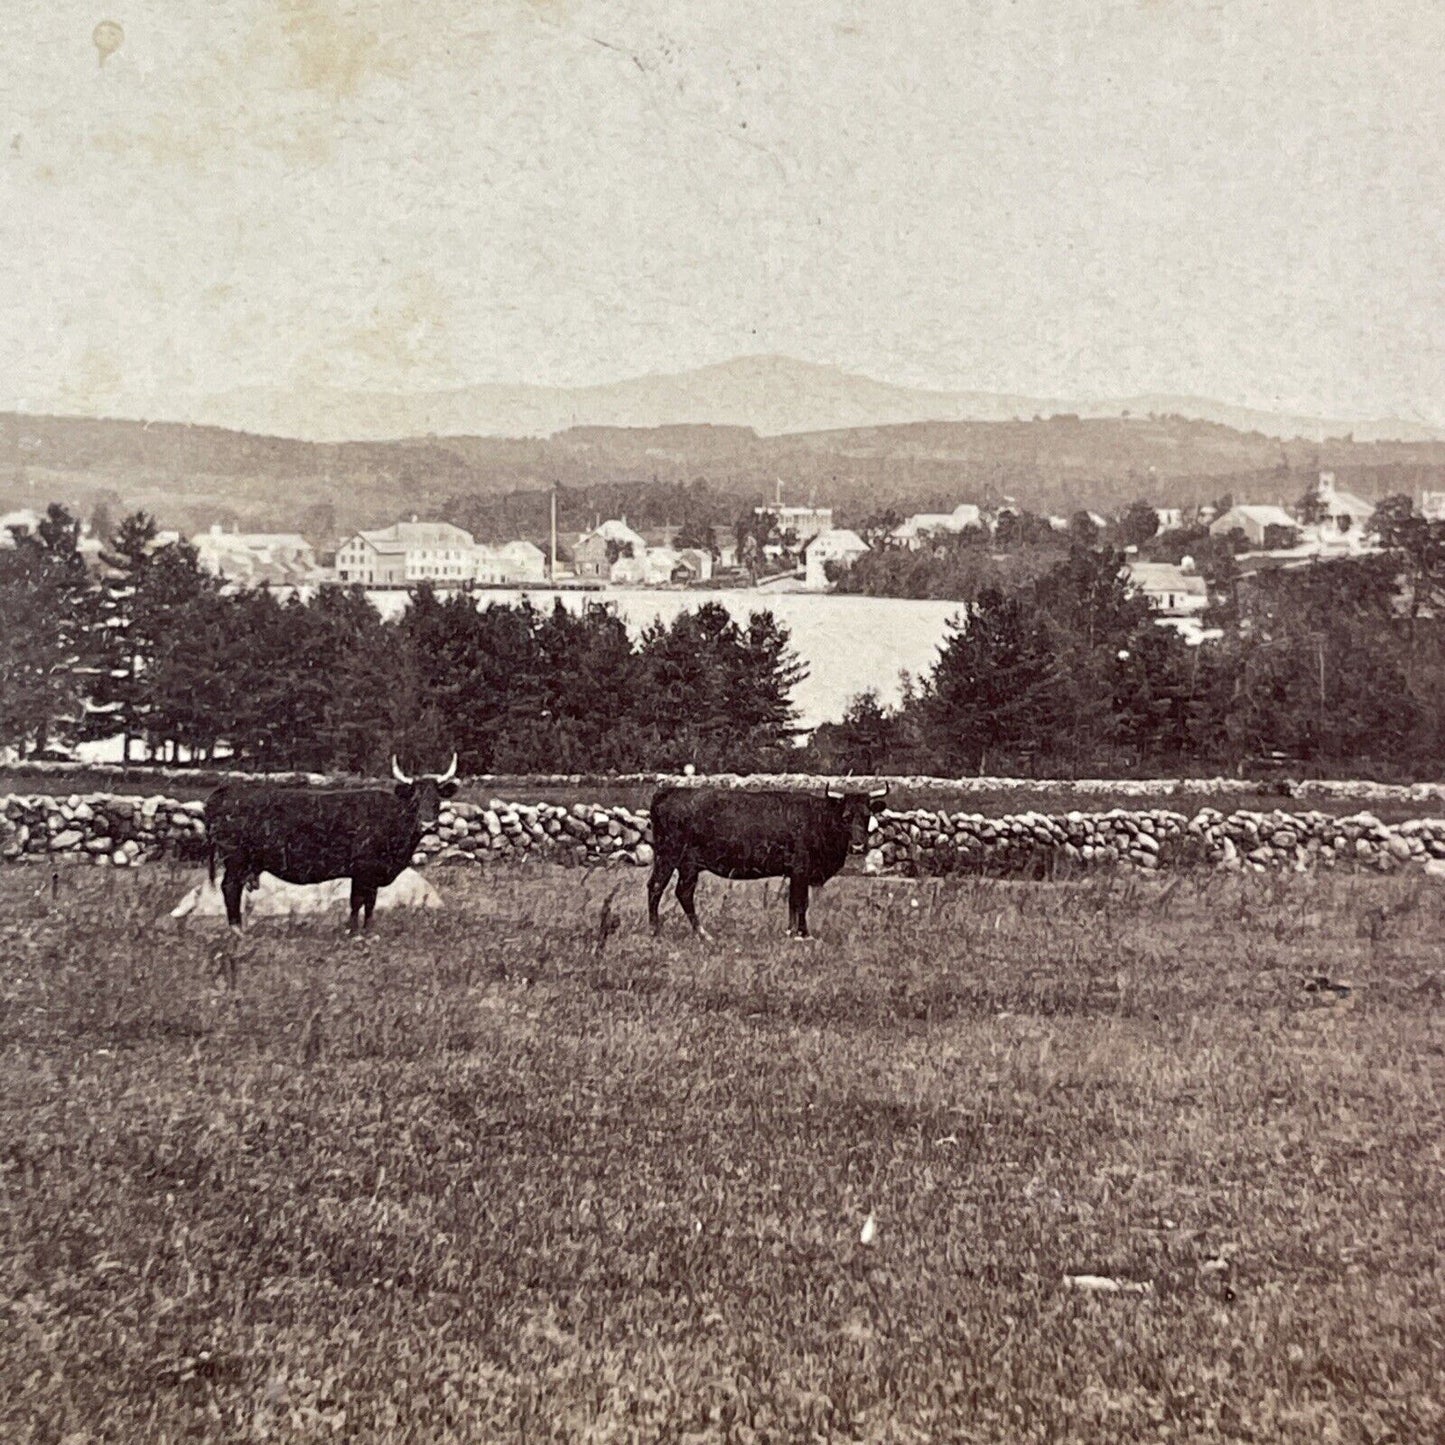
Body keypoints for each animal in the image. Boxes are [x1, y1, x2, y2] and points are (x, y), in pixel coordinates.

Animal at [203, 757, 456, 936]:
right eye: (415, 800)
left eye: (437, 800)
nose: (428, 824)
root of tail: (227, 791)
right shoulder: (363, 869)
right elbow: (358, 900)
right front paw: (354, 932)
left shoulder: (370, 874)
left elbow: (369, 902)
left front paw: (367, 931)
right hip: (236, 860)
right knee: (230, 888)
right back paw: (237, 931)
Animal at [647, 786, 890, 942]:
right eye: (846, 816)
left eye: (867, 815)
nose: (858, 846)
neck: (818, 819)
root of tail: (668, 791)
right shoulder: (801, 869)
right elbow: (801, 902)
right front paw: (803, 935)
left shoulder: (794, 873)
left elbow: (794, 903)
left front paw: (792, 932)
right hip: (668, 856)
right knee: (656, 887)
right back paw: (655, 931)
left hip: (688, 865)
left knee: (683, 893)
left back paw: (702, 934)